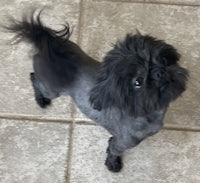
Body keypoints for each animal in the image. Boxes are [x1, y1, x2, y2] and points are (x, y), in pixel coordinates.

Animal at [5, 10, 188, 172]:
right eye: (138, 81)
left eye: (164, 59)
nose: (160, 72)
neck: (148, 112)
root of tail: (47, 42)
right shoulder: (123, 143)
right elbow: (114, 151)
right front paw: (112, 164)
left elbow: (111, 142)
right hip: (52, 89)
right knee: (34, 78)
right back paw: (41, 100)